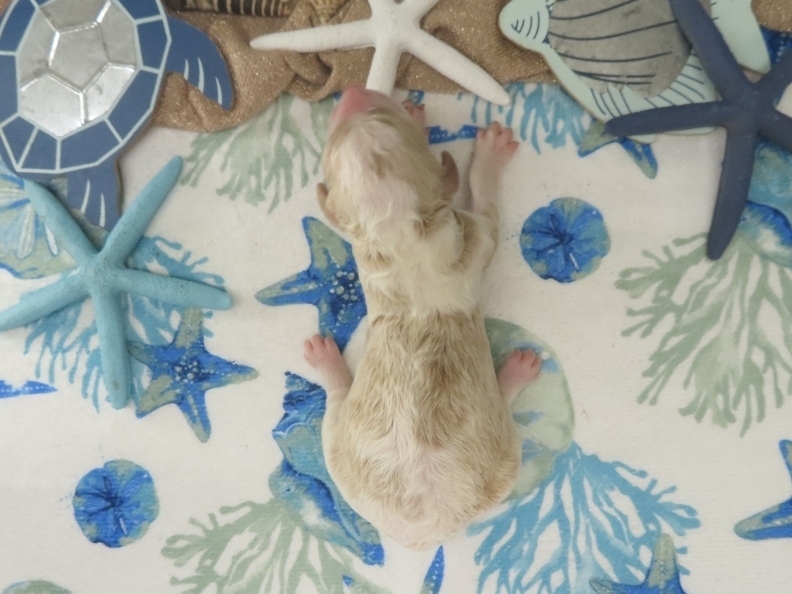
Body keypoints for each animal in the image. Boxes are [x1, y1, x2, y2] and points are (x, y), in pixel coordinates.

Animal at [304, 86, 541, 550]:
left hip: (338, 459)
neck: (398, 230)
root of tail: (423, 529)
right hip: (506, 457)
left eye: (332, 140)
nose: (354, 92)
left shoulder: (366, 249)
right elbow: (488, 211)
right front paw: (487, 158)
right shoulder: (473, 232)